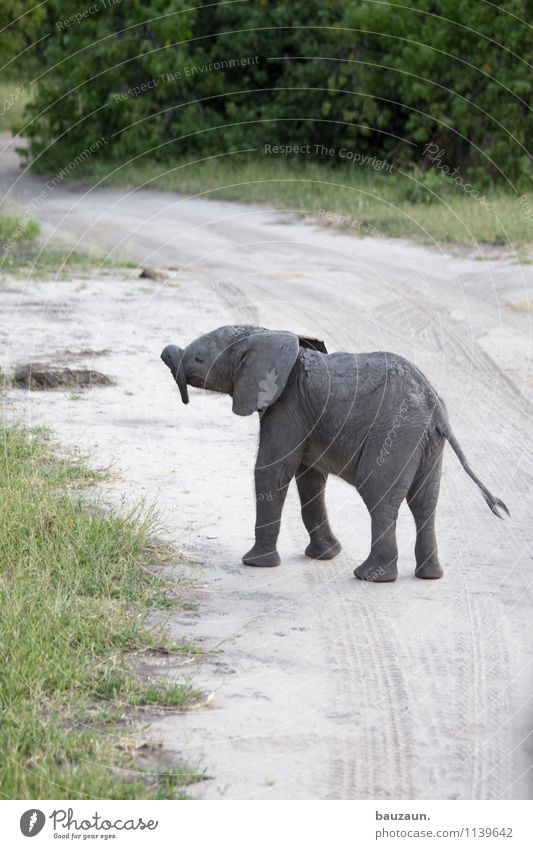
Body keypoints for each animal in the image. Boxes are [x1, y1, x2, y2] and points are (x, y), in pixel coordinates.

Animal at [161, 322, 508, 580]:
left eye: (199, 359)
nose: (167, 352)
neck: (267, 334)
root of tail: (435, 406)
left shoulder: (287, 406)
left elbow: (272, 470)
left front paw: (255, 564)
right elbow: (310, 479)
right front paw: (325, 556)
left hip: (396, 433)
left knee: (379, 494)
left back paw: (372, 577)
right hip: (426, 442)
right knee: (425, 501)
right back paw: (429, 575)